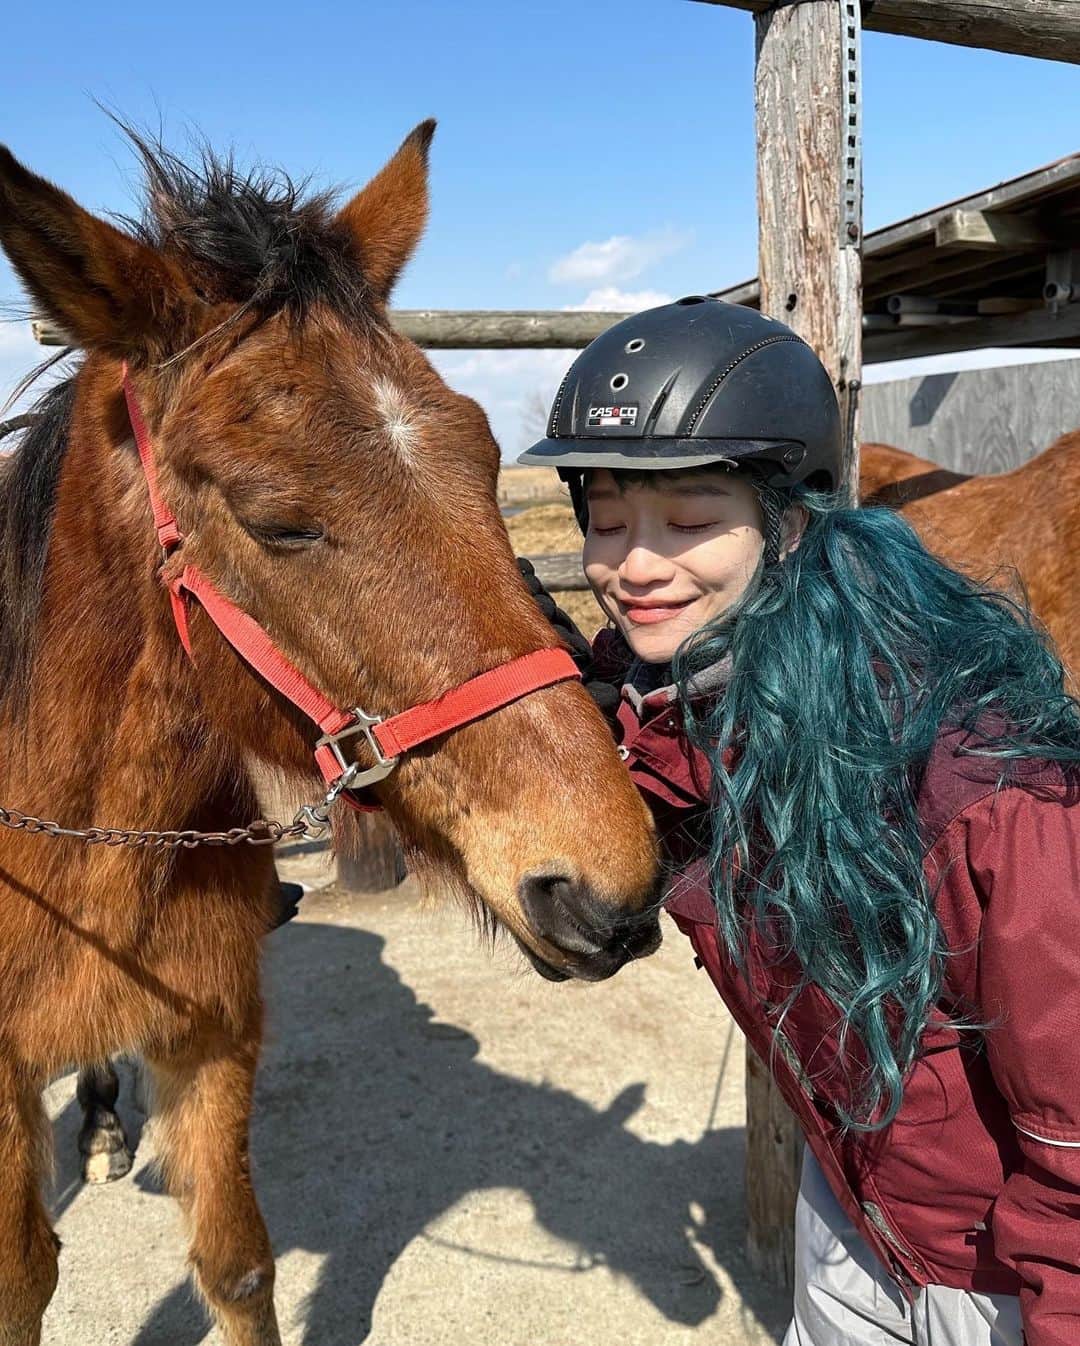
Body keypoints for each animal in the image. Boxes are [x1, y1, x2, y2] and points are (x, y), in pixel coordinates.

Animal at [0, 123, 661, 1346]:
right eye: (278, 522)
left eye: (487, 457)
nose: (609, 887)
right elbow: (24, 1282)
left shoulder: (214, 1035)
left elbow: (238, 1265)